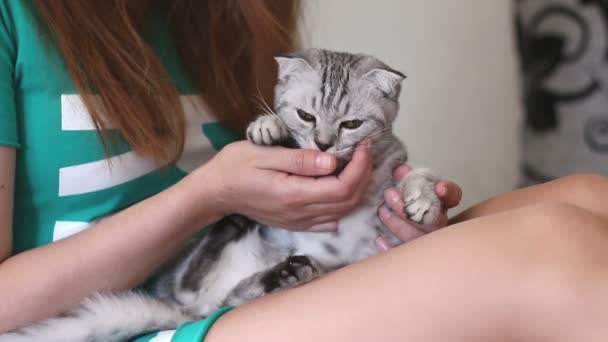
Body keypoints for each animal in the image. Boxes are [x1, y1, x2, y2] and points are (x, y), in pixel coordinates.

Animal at [2, 48, 444, 342]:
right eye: (305, 116)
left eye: (351, 124)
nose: (322, 144)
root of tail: (181, 315)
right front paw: (268, 127)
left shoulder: (393, 171)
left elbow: (412, 174)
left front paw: (424, 199)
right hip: (207, 274)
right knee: (193, 283)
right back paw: (234, 225)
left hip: (242, 290)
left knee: (229, 295)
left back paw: (284, 271)